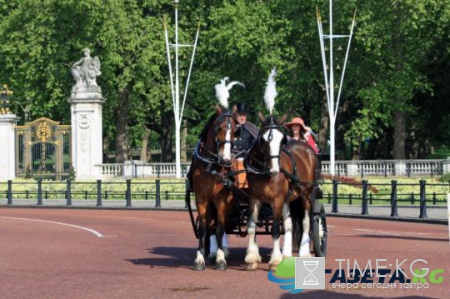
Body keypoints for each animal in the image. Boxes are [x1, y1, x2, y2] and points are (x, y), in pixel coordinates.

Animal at [187, 106, 237, 272]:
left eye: (235, 130)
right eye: (219, 128)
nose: (226, 160)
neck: (211, 166)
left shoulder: (221, 200)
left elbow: (221, 228)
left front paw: (221, 259)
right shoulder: (201, 198)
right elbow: (203, 228)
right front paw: (199, 259)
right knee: (211, 225)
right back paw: (213, 252)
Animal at [243, 113, 316, 270]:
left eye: (282, 139)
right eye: (263, 139)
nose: (275, 169)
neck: (264, 173)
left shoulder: (277, 200)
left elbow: (275, 229)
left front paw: (275, 261)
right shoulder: (254, 199)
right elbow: (251, 226)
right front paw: (251, 258)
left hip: (306, 195)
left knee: (306, 221)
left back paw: (304, 252)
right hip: (287, 199)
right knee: (289, 224)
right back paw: (286, 255)